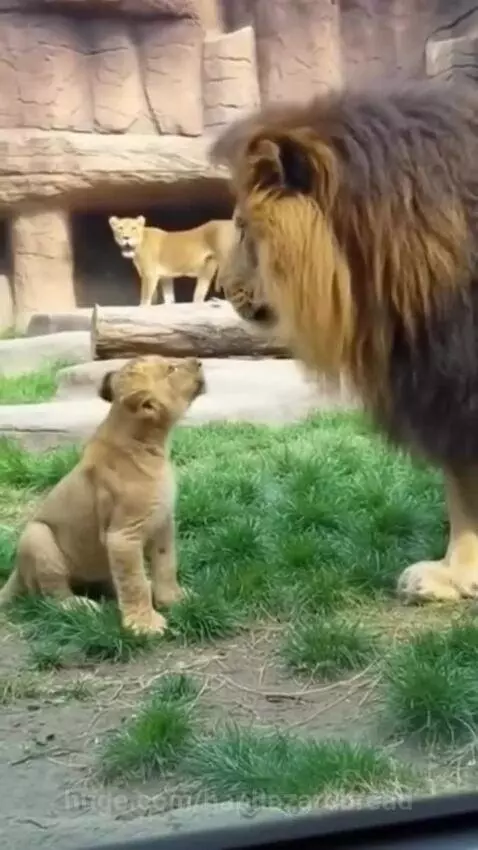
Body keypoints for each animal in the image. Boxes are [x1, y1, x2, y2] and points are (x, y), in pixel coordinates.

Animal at [0, 355, 206, 635]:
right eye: (171, 369)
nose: (198, 362)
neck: (152, 445)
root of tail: (15, 573)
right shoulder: (123, 535)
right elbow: (133, 582)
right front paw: (144, 625)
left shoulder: (163, 522)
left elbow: (166, 565)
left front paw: (173, 600)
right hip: (38, 536)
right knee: (53, 596)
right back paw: (80, 606)